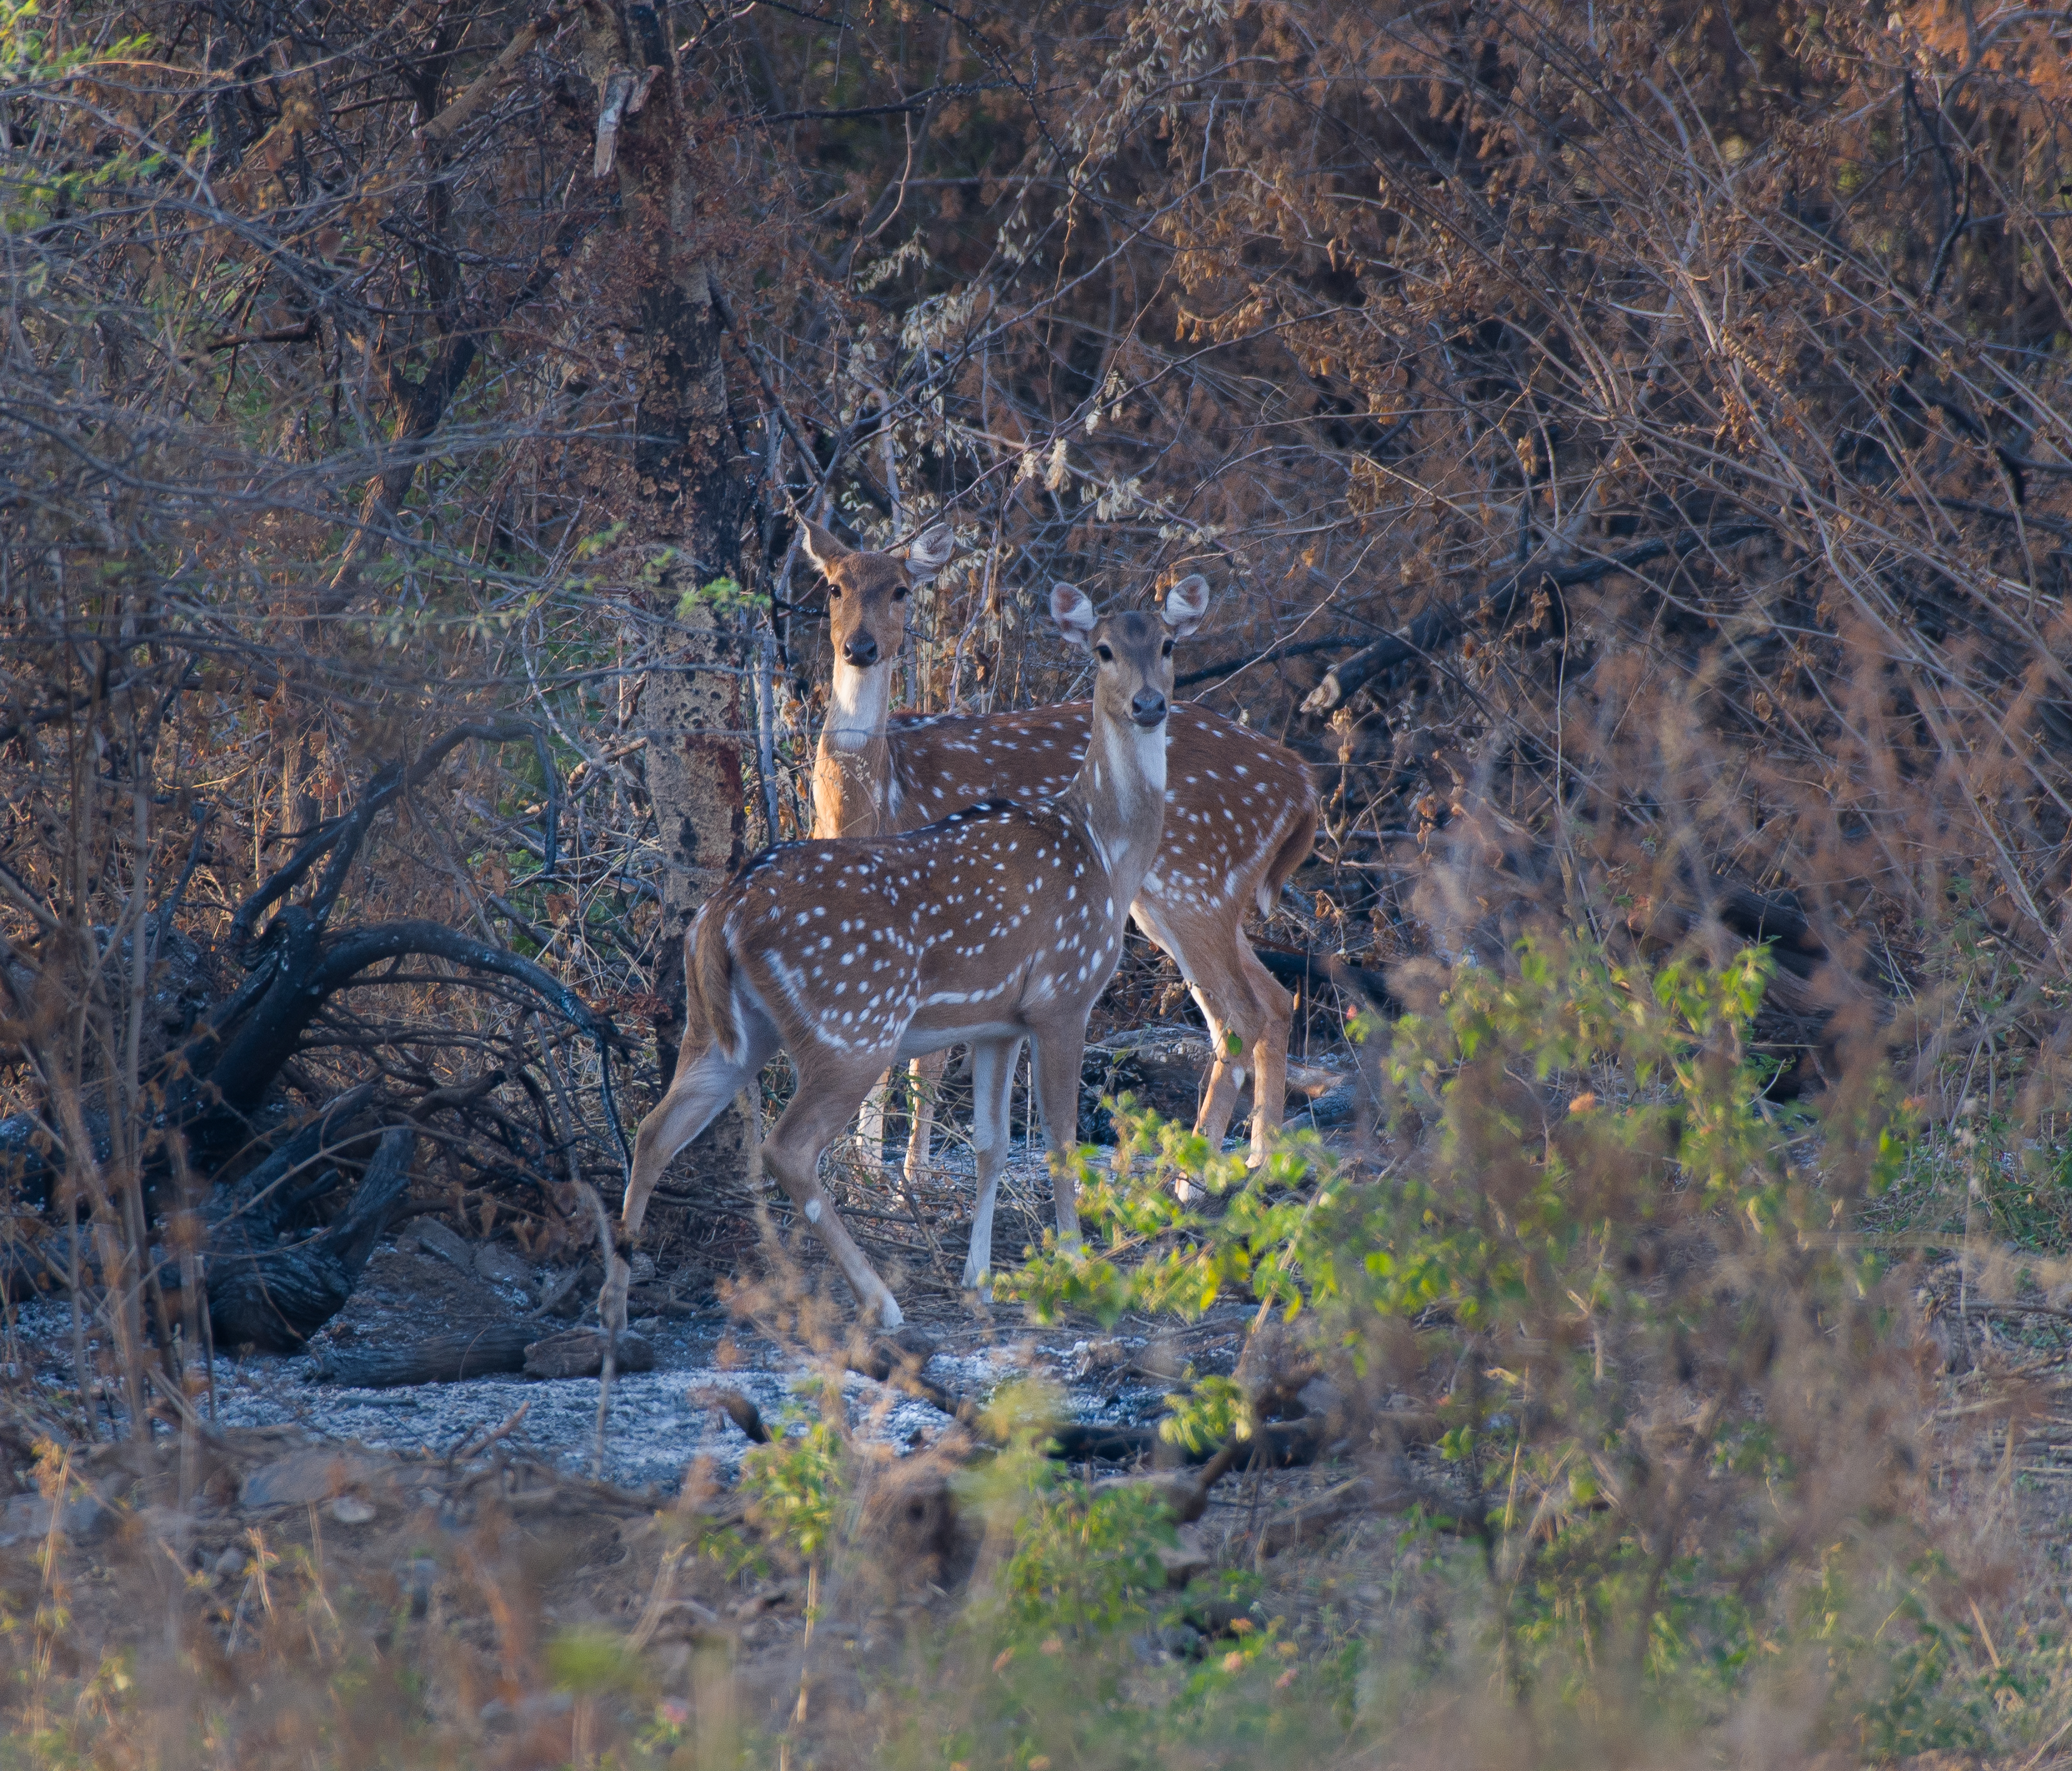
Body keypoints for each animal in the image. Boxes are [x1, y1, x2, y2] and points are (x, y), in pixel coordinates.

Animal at [605, 575, 1210, 1326]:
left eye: (1169, 644)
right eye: (1102, 650)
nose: (1149, 704)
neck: (1103, 849)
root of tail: (721, 915)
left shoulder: (997, 1021)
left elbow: (991, 1144)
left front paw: (978, 1279)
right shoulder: (1064, 996)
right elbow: (1061, 1141)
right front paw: (1075, 1265)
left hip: (720, 1028)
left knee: (654, 1131)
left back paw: (614, 1302)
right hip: (854, 1023)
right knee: (787, 1149)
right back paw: (882, 1301)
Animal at [799, 520, 1317, 1184]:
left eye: (900, 590)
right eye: (834, 587)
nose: (860, 648)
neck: (873, 804)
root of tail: (1301, 780)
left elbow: (922, 1066)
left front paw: (903, 1184)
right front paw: (861, 1171)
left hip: (1192, 884)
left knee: (1237, 1013)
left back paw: (1193, 1179)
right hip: (1183, 899)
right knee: (1272, 999)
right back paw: (1259, 1159)